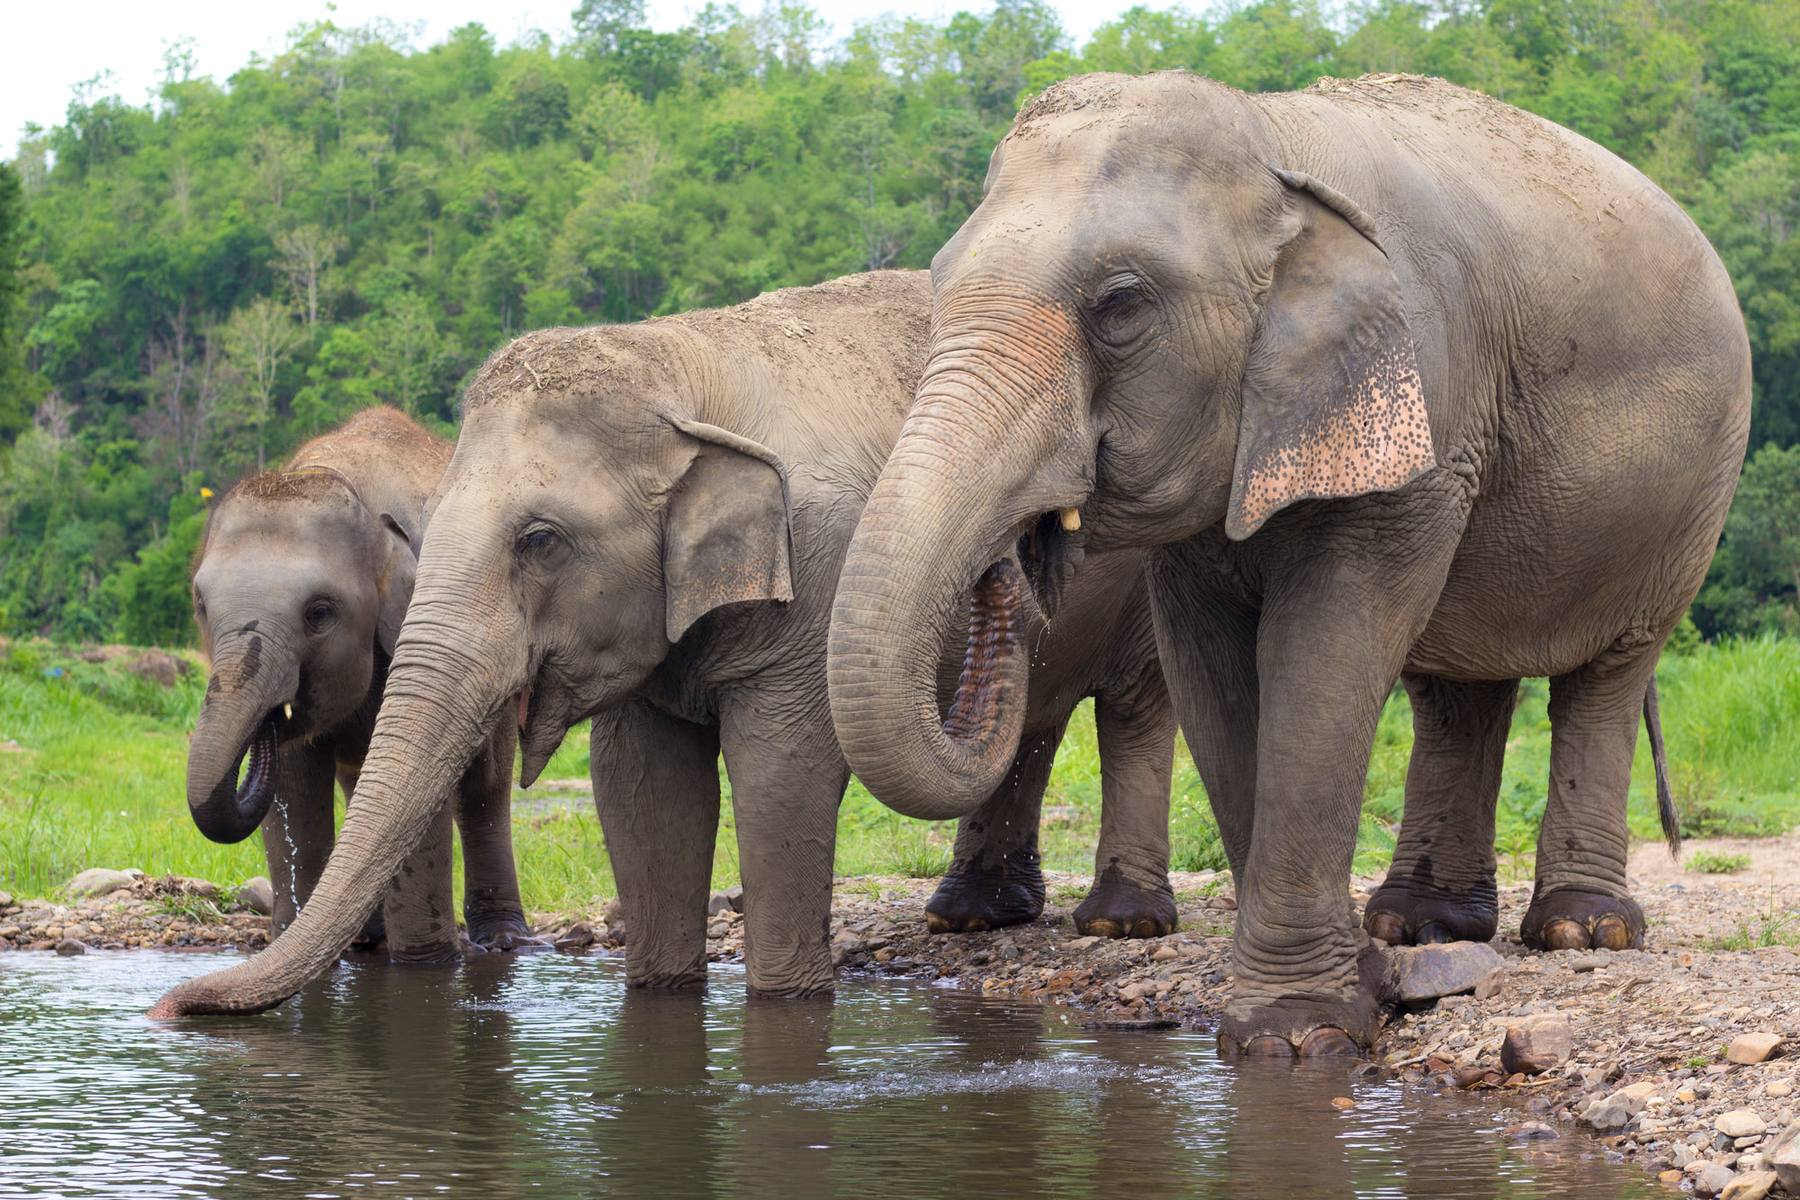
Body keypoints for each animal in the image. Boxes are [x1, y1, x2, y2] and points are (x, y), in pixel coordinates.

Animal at [185, 406, 539, 958]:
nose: (269, 719)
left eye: (319, 613)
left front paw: (427, 963)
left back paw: (503, 941)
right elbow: (294, 784)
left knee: (485, 787)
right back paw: (366, 939)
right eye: (202, 606)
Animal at [824, 73, 1750, 1056]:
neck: (1270, 140)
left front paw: (1301, 1035)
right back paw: (1416, 925)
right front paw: (1348, 987)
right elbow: (1215, 678)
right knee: (1457, 691)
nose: (1018, 552)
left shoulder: (1423, 413)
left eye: (1120, 306)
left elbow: (1321, 658)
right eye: (939, 284)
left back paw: (1582, 929)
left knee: (1608, 675)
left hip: (1687, 502)